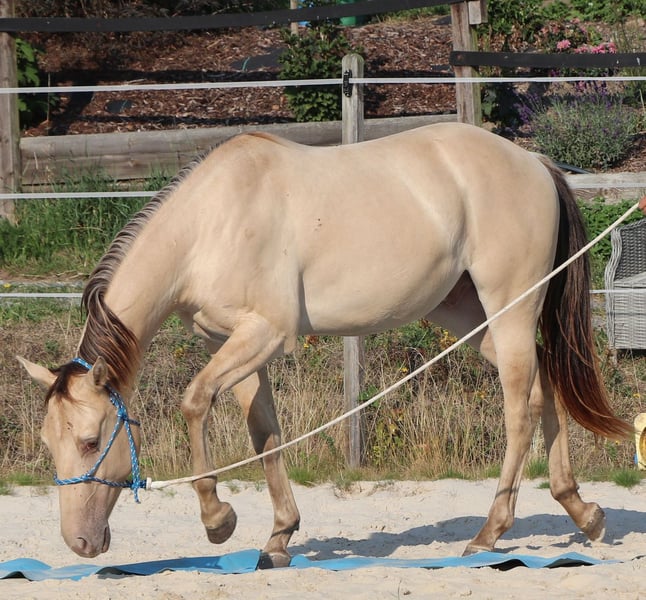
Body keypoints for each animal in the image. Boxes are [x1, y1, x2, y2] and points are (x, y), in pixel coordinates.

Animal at [18, 122, 631, 568]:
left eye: (92, 441)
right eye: (50, 443)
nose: (79, 544)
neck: (210, 224)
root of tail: (533, 162)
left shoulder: (266, 334)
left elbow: (194, 402)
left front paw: (218, 521)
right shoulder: (236, 345)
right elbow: (266, 436)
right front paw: (278, 538)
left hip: (509, 308)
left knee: (518, 412)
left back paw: (488, 533)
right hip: (474, 318)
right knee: (545, 391)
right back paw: (583, 513)